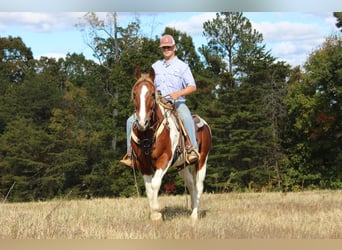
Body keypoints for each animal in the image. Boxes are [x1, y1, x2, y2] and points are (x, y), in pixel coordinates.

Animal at [130, 66, 211, 221]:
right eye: (134, 94)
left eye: (152, 94)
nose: (142, 122)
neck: (147, 135)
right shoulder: (143, 164)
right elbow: (149, 189)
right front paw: (154, 214)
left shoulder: (165, 159)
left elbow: (155, 183)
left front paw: (156, 211)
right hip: (182, 166)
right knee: (190, 185)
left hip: (202, 160)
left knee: (199, 186)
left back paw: (194, 215)